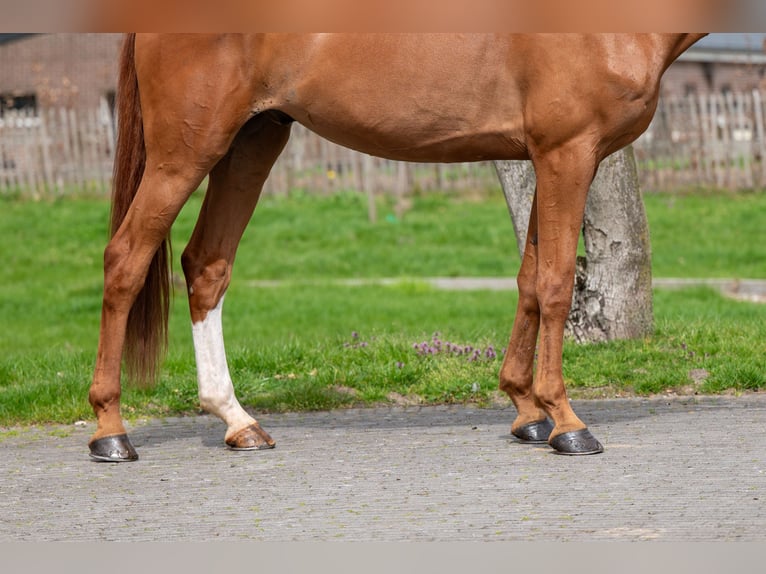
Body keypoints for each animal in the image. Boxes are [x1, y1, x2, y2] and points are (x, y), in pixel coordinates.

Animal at [88, 33, 706, 461]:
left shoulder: (550, 158)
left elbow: (530, 280)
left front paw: (527, 411)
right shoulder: (567, 153)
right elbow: (555, 284)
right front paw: (567, 423)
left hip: (252, 141)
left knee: (207, 266)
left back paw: (238, 421)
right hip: (184, 153)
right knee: (126, 259)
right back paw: (111, 432)